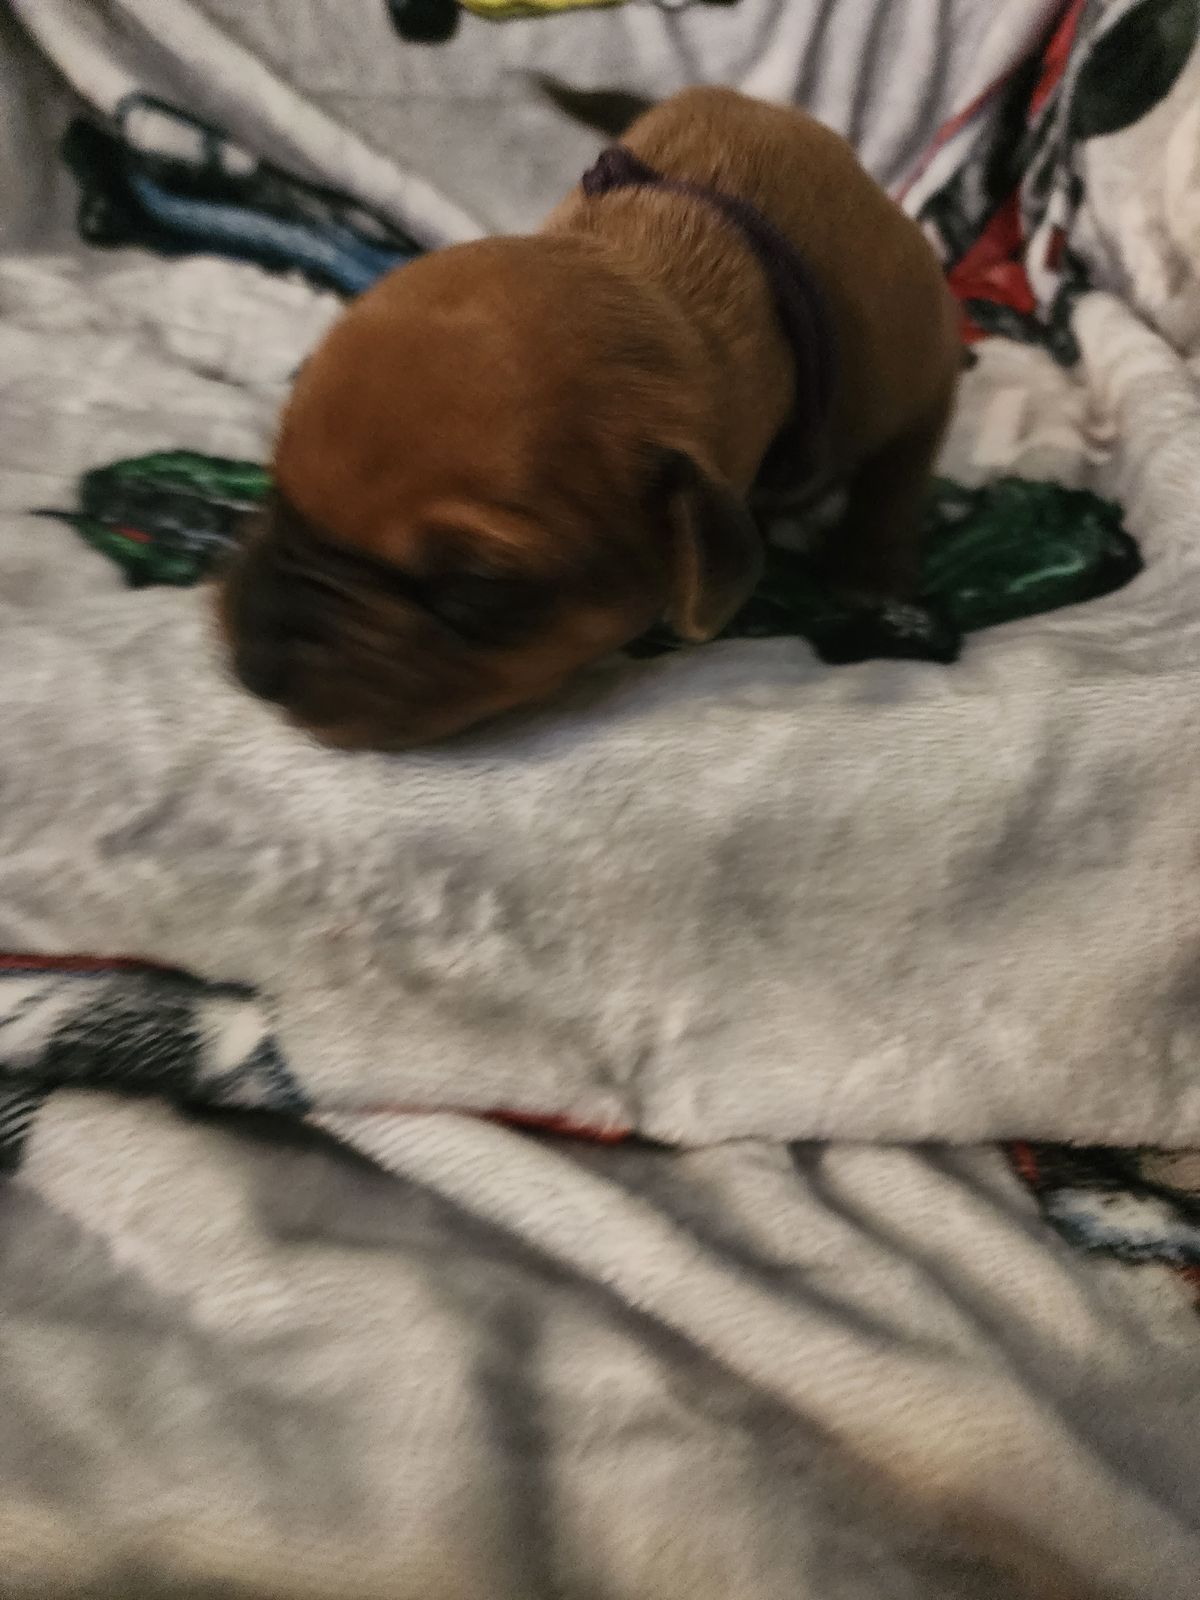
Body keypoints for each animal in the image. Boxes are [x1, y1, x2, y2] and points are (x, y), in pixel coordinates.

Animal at [221, 86, 960, 749]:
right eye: (278, 489)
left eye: (479, 590)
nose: (256, 665)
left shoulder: (921, 370)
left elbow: (900, 470)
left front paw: (873, 567)